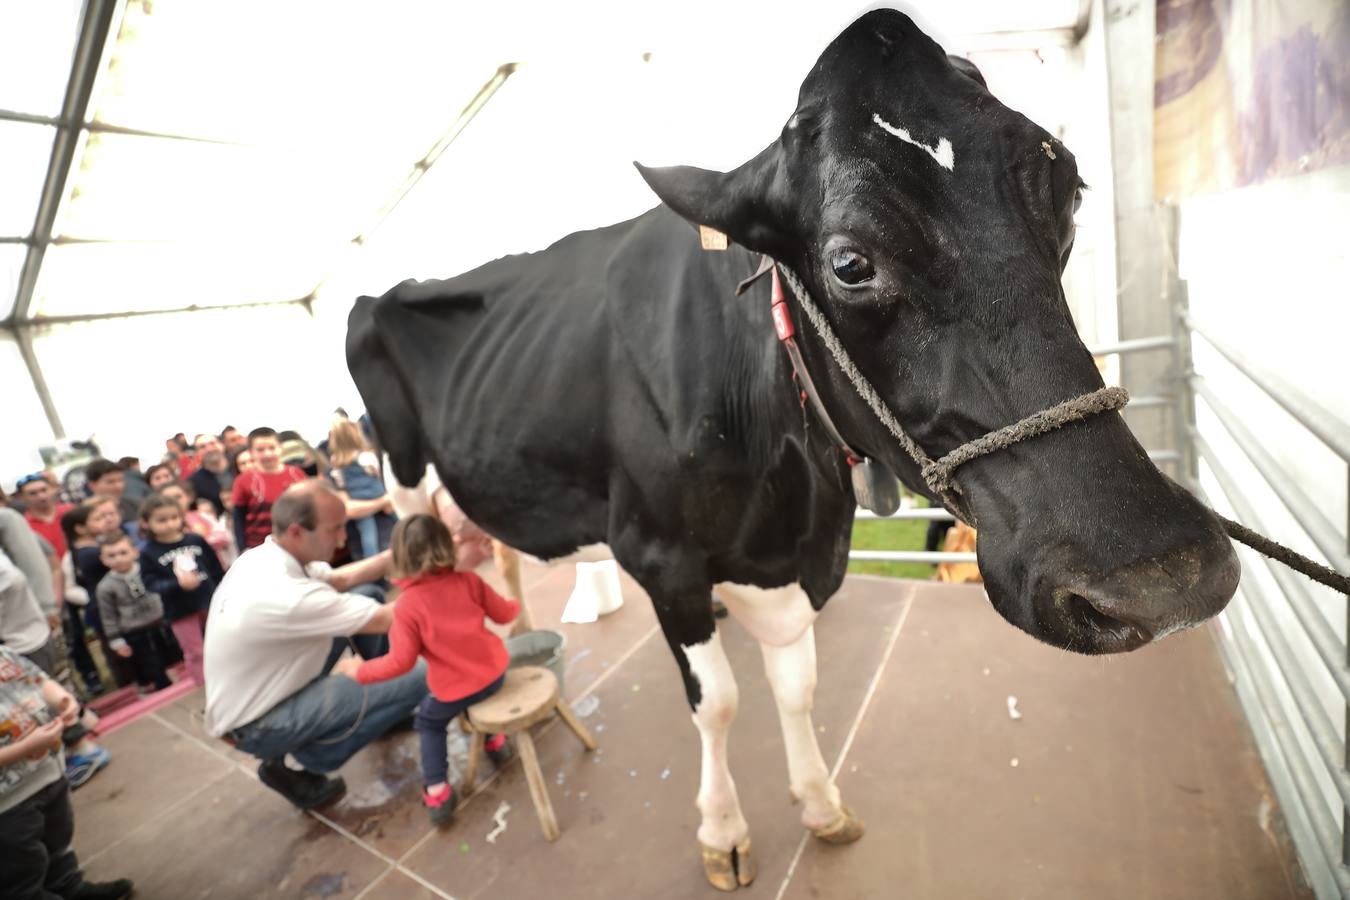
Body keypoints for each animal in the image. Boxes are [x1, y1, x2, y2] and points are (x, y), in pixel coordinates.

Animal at [345, 10, 1236, 890]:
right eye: (849, 263)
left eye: (1072, 192)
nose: (1162, 576)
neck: (791, 497)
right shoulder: (661, 555)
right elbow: (719, 702)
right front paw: (724, 830)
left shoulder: (793, 561)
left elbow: (798, 686)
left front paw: (819, 802)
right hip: (402, 472)